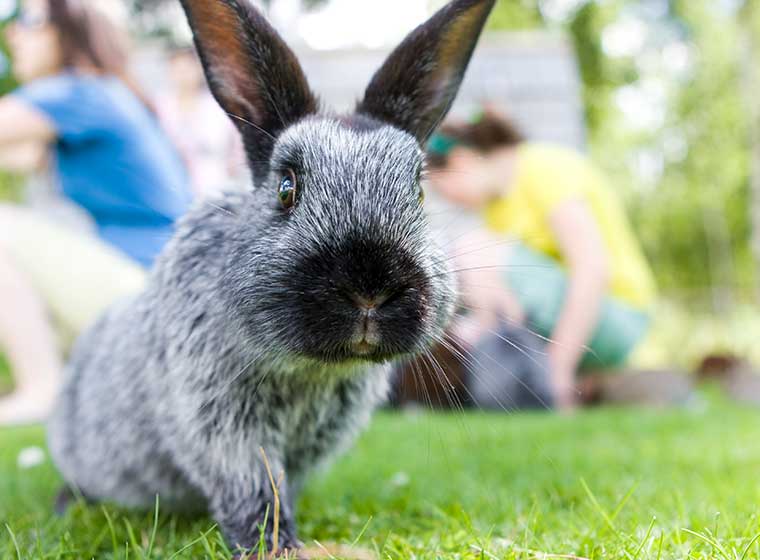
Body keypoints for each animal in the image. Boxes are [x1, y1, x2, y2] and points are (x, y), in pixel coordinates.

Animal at [49, 0, 498, 552]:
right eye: (287, 187)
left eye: (417, 191)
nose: (369, 290)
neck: (311, 369)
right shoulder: (223, 425)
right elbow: (255, 486)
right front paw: (274, 545)